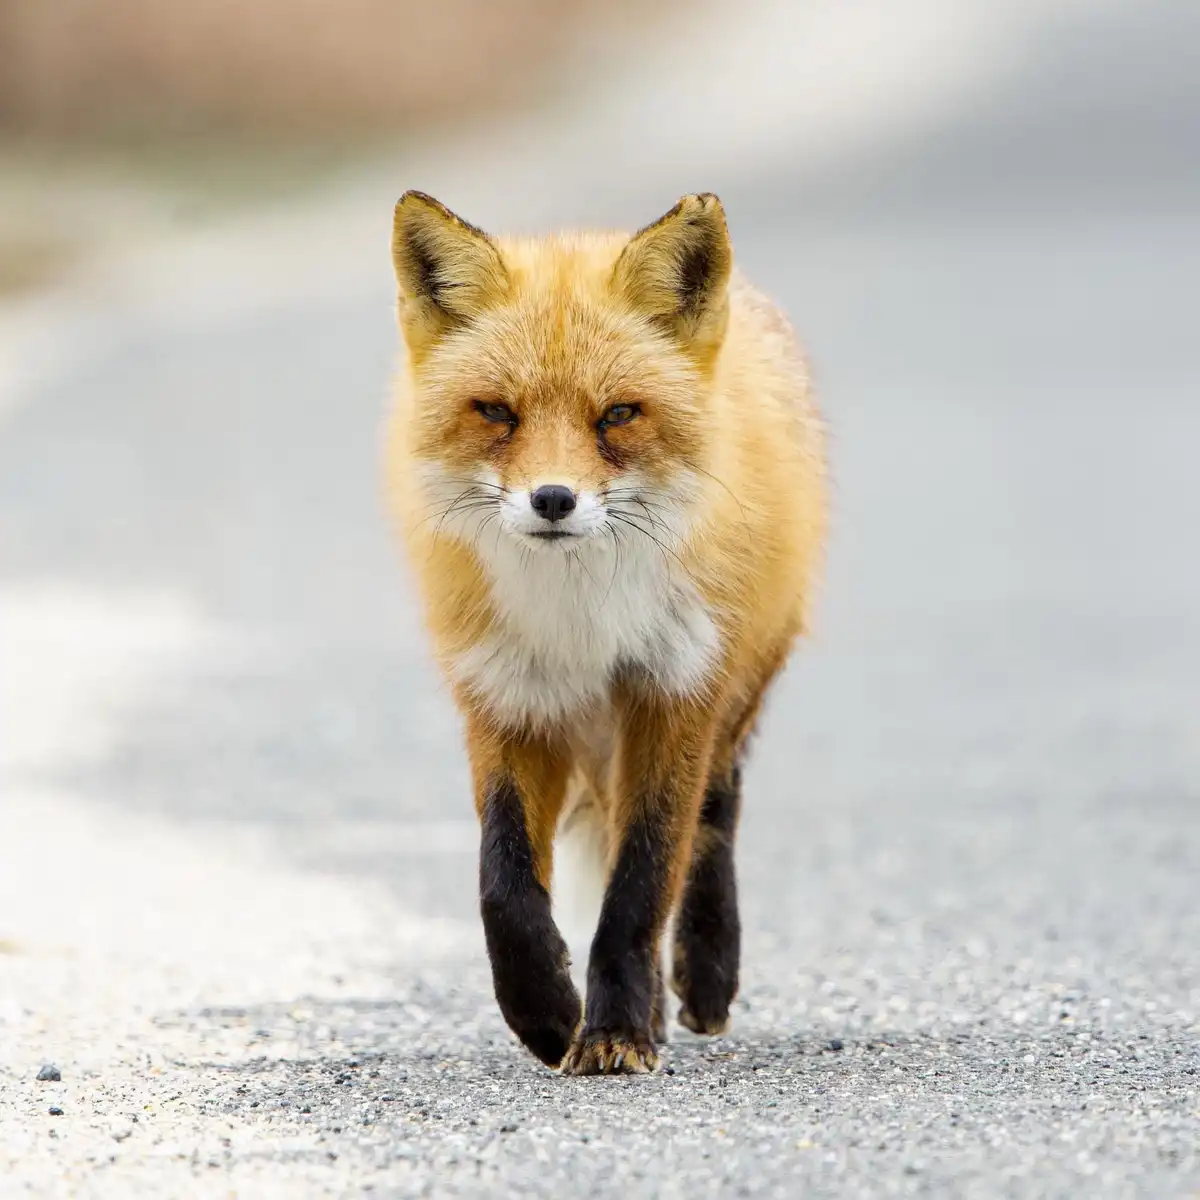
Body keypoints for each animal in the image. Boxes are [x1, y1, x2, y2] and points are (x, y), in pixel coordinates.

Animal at [384, 190, 826, 1075]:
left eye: (618, 415)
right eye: (497, 412)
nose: (553, 500)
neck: (579, 617)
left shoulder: (673, 693)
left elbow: (644, 876)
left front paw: (615, 1027)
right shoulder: (506, 697)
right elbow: (503, 880)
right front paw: (549, 1013)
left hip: (738, 686)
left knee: (714, 821)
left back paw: (702, 976)